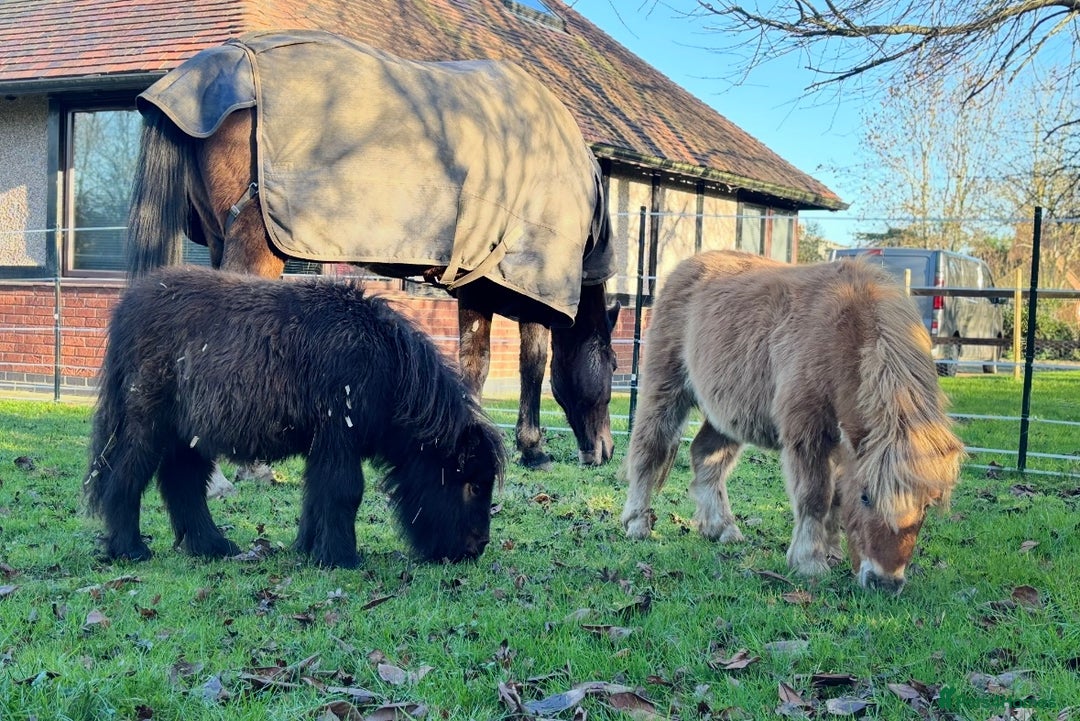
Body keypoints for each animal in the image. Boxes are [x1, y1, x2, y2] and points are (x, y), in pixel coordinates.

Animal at [85, 266, 506, 568]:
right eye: (472, 483)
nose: (478, 546)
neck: (387, 362)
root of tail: (127, 310)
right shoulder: (339, 438)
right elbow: (345, 492)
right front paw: (342, 558)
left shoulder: (323, 445)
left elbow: (316, 495)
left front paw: (308, 548)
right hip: (148, 427)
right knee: (126, 477)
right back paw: (130, 549)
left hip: (189, 438)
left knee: (182, 484)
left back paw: (214, 546)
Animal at [126, 30, 619, 470]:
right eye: (614, 365)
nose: (604, 450)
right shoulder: (534, 289)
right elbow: (532, 363)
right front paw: (533, 449)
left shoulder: (480, 285)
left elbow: (474, 364)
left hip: (217, 242)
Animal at [620, 250, 964, 593]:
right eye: (866, 496)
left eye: (927, 505)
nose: (884, 582)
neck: (844, 330)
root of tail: (686, 267)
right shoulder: (808, 432)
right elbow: (816, 496)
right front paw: (810, 561)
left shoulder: (841, 442)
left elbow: (836, 497)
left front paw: (832, 552)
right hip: (666, 389)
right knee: (648, 449)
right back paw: (637, 523)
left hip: (727, 414)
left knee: (707, 457)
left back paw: (721, 528)